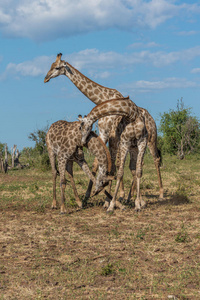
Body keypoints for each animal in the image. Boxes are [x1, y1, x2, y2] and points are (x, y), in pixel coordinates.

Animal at [44, 53, 163, 199]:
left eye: (57, 67)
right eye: (50, 66)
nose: (46, 78)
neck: (102, 99)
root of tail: (151, 118)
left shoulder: (113, 135)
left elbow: (114, 163)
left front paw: (114, 195)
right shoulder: (104, 133)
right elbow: (98, 163)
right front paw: (89, 195)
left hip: (151, 139)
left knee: (155, 159)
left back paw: (160, 193)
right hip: (134, 145)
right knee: (135, 165)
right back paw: (132, 196)